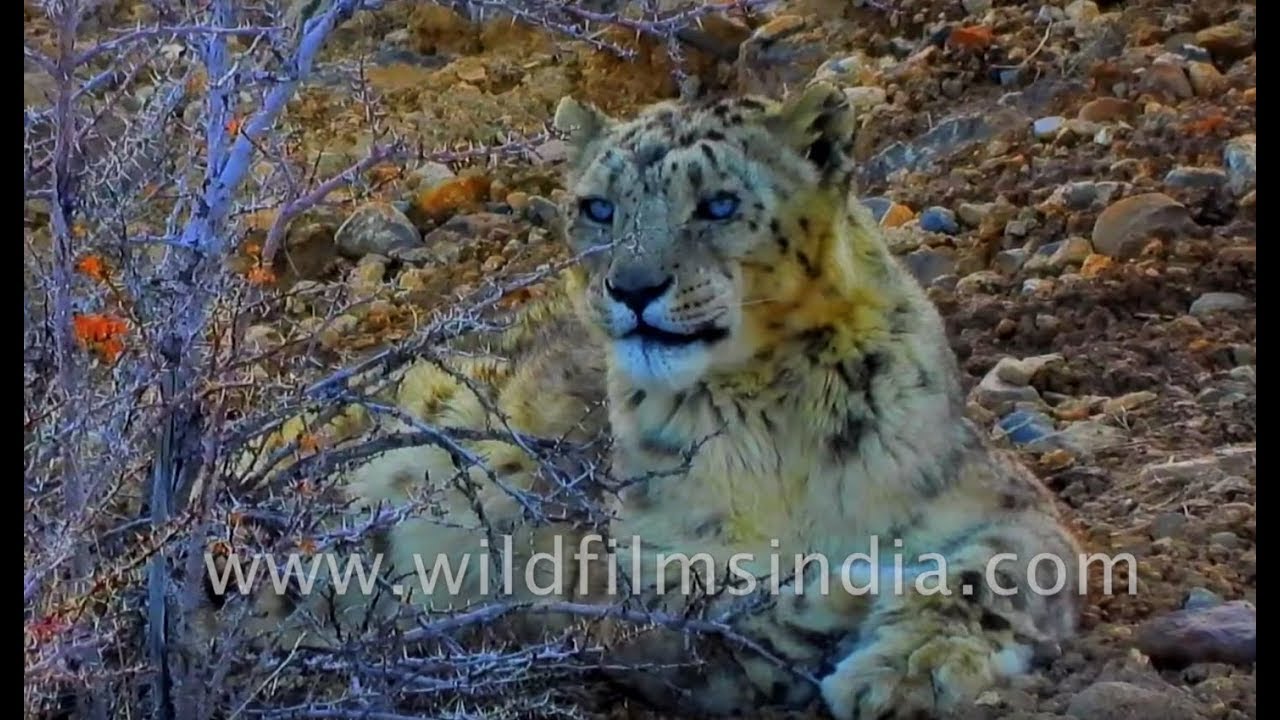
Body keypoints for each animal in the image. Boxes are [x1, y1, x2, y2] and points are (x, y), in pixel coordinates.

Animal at [222, 81, 1085, 719]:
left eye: (720, 204)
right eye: (598, 207)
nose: (632, 287)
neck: (772, 416)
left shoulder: (1000, 500)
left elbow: (994, 573)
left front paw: (909, 668)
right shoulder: (625, 566)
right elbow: (719, 614)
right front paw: (848, 596)